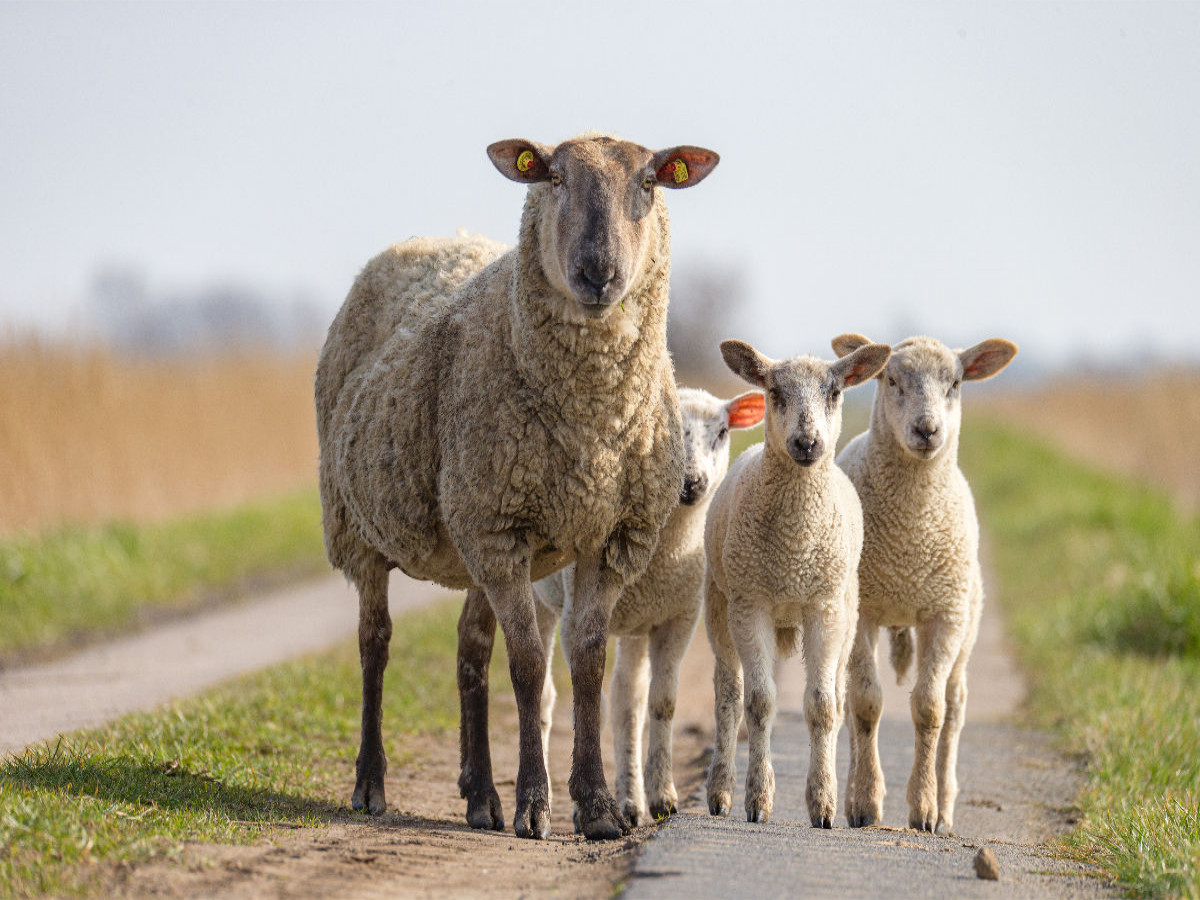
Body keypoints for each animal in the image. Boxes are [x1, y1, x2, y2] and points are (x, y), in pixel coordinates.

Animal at [314, 135, 715, 844]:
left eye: (649, 181)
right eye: (552, 176)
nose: (598, 272)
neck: (590, 424)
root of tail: (427, 239)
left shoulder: (608, 538)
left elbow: (587, 662)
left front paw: (596, 807)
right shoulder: (501, 530)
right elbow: (528, 664)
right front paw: (535, 803)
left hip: (472, 541)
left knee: (470, 652)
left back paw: (480, 796)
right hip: (362, 528)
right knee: (375, 642)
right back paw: (371, 784)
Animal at [537, 386, 763, 825]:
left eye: (722, 432)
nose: (692, 483)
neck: (664, 551)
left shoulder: (678, 616)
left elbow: (658, 702)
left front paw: (661, 797)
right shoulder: (586, 612)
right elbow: (599, 702)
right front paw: (601, 804)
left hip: (635, 624)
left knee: (630, 695)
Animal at [700, 340, 892, 830]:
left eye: (836, 392)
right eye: (774, 392)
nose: (807, 443)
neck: (795, 543)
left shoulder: (825, 606)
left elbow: (822, 706)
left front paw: (823, 804)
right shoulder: (750, 603)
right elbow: (759, 702)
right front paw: (757, 800)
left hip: (847, 614)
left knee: (839, 696)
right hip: (719, 602)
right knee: (728, 696)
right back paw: (720, 793)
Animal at [835, 336, 1022, 835]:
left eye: (955, 383)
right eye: (890, 379)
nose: (927, 430)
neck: (909, 539)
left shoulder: (945, 614)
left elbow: (929, 709)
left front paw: (923, 809)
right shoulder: (863, 609)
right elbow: (866, 704)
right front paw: (866, 803)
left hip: (964, 623)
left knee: (954, 708)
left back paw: (945, 806)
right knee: (849, 703)